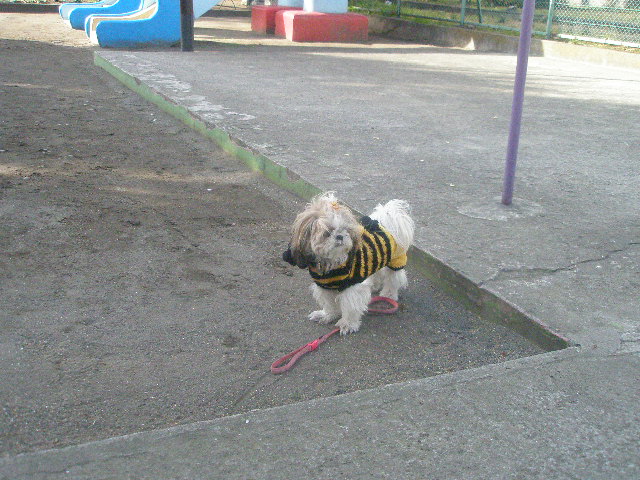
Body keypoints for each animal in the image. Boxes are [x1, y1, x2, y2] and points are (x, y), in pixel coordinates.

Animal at [283, 192, 414, 334]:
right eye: (327, 232)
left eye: (345, 229)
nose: (340, 236)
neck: (332, 262)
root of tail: (386, 224)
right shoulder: (325, 287)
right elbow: (329, 304)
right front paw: (327, 315)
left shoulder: (352, 287)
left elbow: (351, 307)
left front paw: (347, 324)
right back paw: (374, 285)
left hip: (396, 261)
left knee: (393, 279)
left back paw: (388, 294)